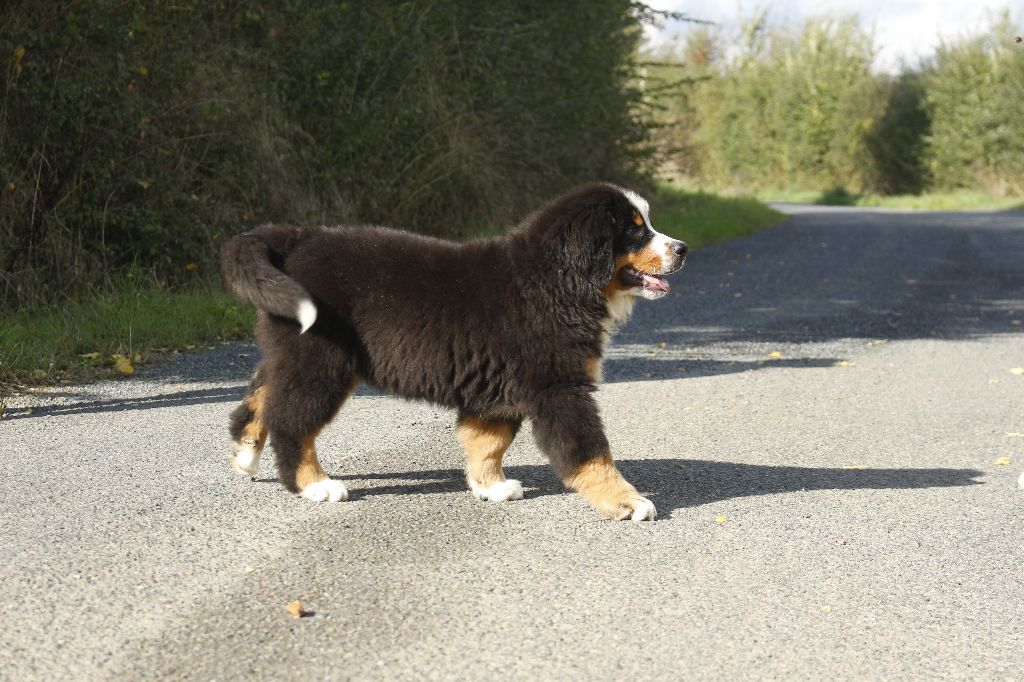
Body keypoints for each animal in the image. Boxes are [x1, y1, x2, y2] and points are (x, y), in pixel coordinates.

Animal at [224, 183, 688, 518]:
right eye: (634, 229)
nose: (682, 248)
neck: (558, 281)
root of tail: (298, 238)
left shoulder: (496, 388)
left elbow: (488, 441)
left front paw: (490, 486)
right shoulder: (559, 388)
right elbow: (590, 452)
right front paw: (625, 500)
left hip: (296, 353)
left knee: (264, 391)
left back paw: (246, 452)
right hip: (323, 363)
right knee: (292, 421)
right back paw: (314, 485)